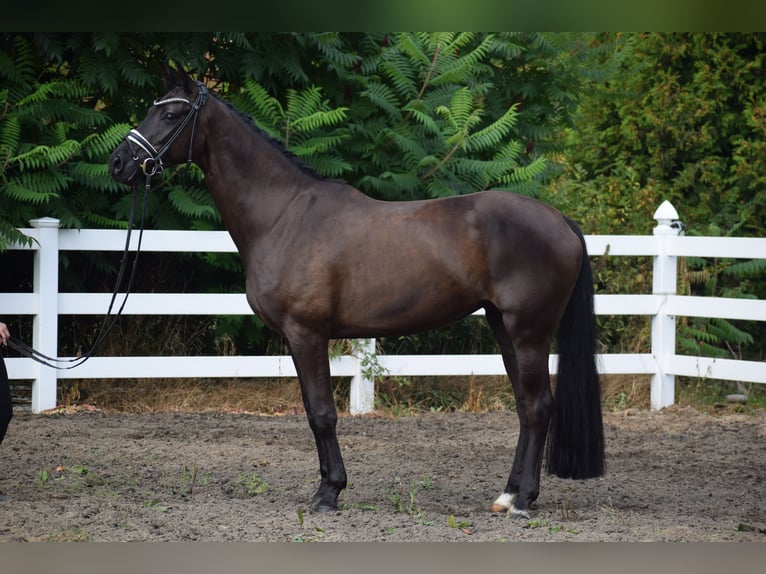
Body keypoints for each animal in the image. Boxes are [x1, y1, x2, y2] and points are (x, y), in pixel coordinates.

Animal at [111, 65, 608, 520]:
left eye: (171, 113)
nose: (119, 163)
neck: (284, 216)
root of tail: (560, 221)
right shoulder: (296, 339)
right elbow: (312, 411)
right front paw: (328, 486)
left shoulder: (307, 333)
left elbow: (323, 413)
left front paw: (328, 493)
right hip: (503, 327)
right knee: (525, 407)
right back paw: (507, 495)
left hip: (529, 331)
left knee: (539, 407)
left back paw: (523, 501)